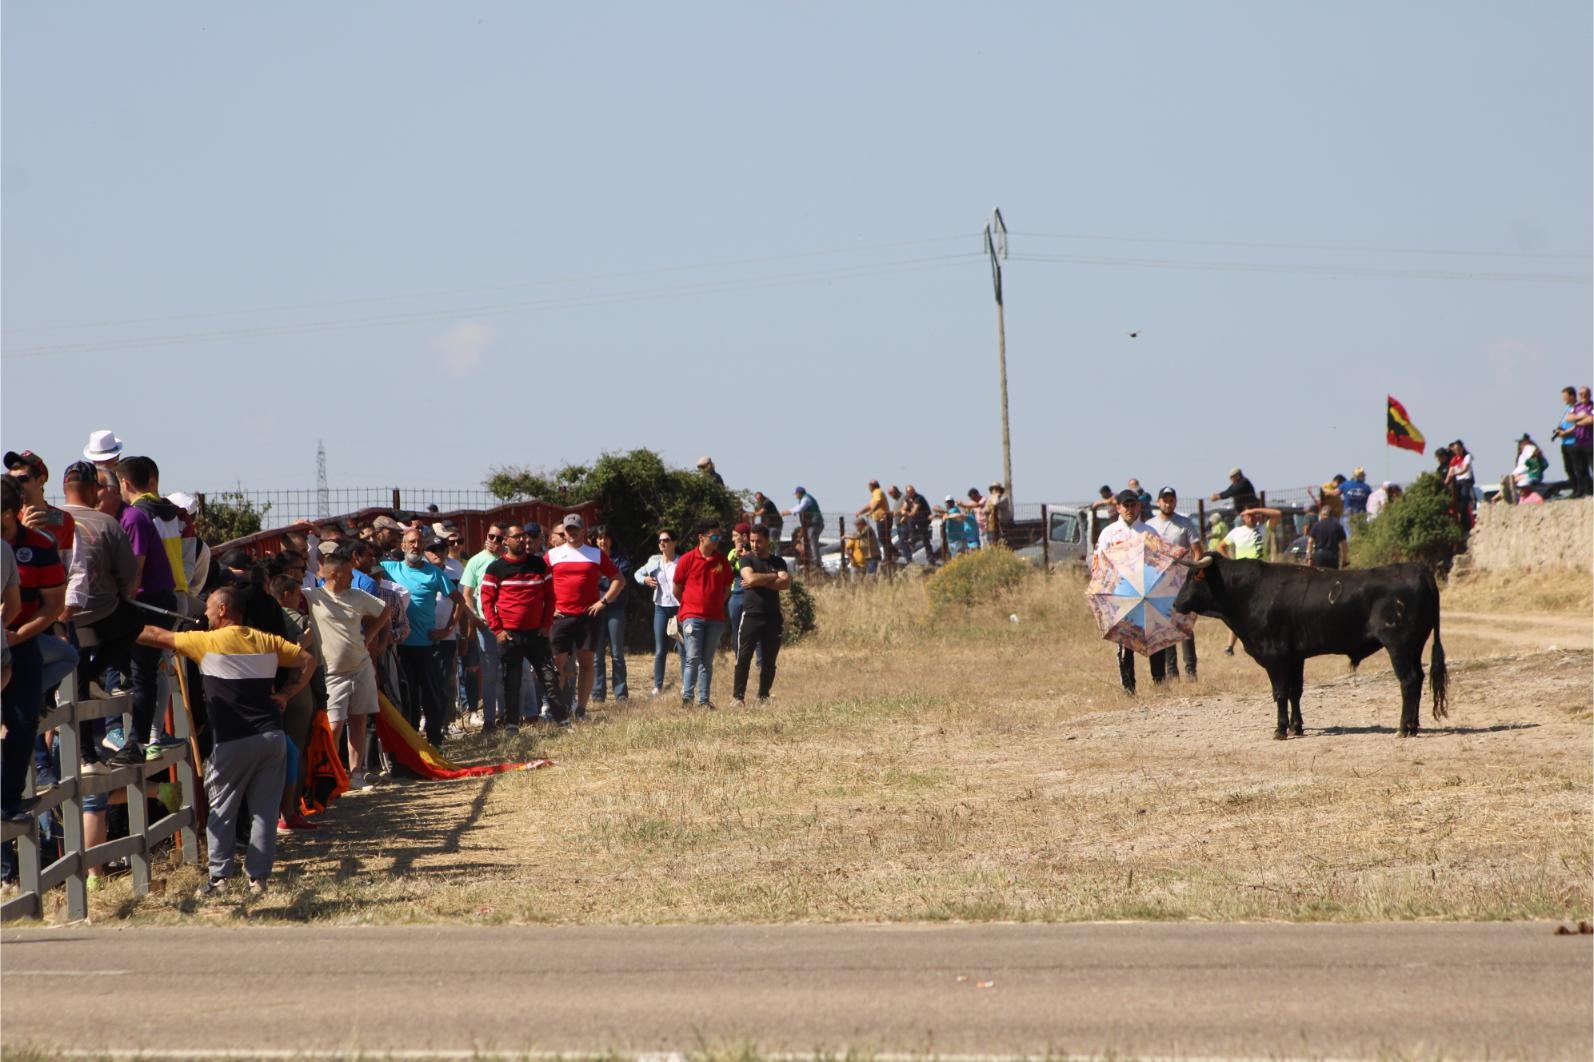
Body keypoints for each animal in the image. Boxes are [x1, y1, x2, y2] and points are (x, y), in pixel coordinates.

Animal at [1166, 554, 1453, 736]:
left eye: (1193, 576)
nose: (1176, 604)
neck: (1250, 592)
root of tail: (1420, 570)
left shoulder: (1275, 656)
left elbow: (1280, 692)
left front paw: (1281, 729)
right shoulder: (1295, 657)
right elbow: (1296, 691)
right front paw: (1297, 726)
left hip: (1399, 645)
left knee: (1408, 681)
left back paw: (1403, 728)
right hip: (1415, 645)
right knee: (1418, 679)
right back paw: (1413, 727)